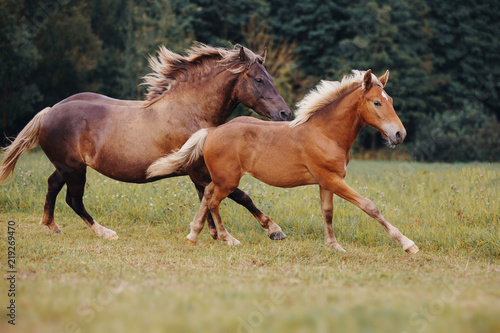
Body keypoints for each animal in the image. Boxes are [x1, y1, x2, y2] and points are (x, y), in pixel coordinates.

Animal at [0, 44, 290, 240]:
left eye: (270, 77)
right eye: (259, 79)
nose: (285, 114)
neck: (191, 111)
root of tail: (50, 111)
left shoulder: (201, 172)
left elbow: (207, 200)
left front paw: (211, 233)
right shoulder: (200, 170)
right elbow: (238, 196)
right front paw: (273, 230)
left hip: (66, 167)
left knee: (52, 185)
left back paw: (52, 225)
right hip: (74, 169)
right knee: (74, 200)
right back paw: (105, 232)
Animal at [150, 68, 420, 253]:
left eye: (390, 101)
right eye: (377, 102)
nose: (400, 134)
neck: (326, 133)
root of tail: (212, 131)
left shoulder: (327, 182)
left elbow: (327, 212)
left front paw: (333, 246)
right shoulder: (332, 180)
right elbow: (369, 206)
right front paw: (408, 244)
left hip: (220, 179)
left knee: (206, 195)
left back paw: (193, 235)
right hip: (227, 180)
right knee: (214, 201)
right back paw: (229, 239)